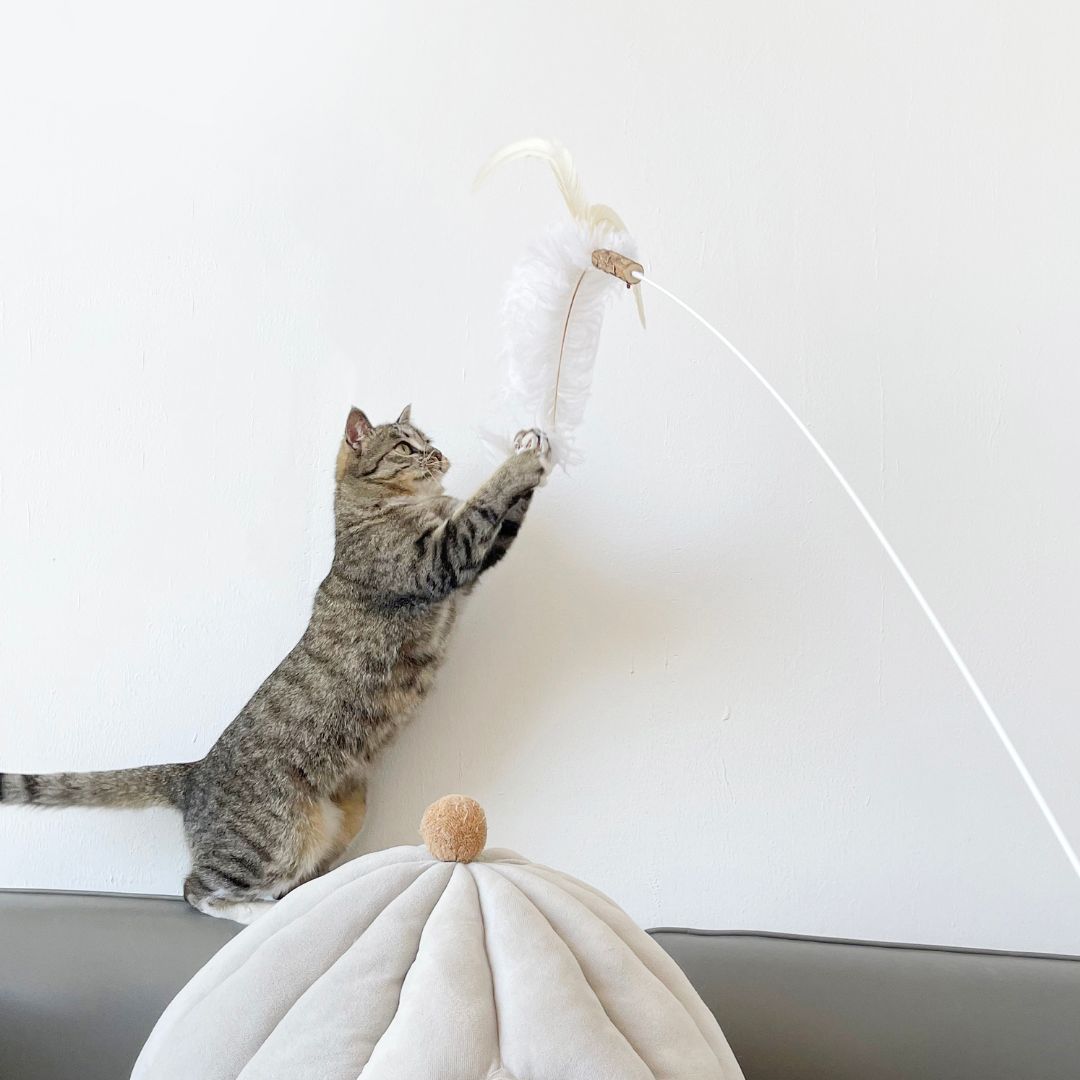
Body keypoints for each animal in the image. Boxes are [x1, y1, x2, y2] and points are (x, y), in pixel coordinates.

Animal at [1, 405, 551, 922]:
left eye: (428, 440)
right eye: (404, 446)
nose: (437, 455)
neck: (390, 507)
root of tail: (194, 773)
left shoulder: (471, 569)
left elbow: (502, 522)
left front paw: (535, 445)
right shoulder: (441, 558)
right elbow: (483, 501)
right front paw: (522, 458)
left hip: (346, 818)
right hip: (277, 838)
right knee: (197, 888)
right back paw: (256, 913)